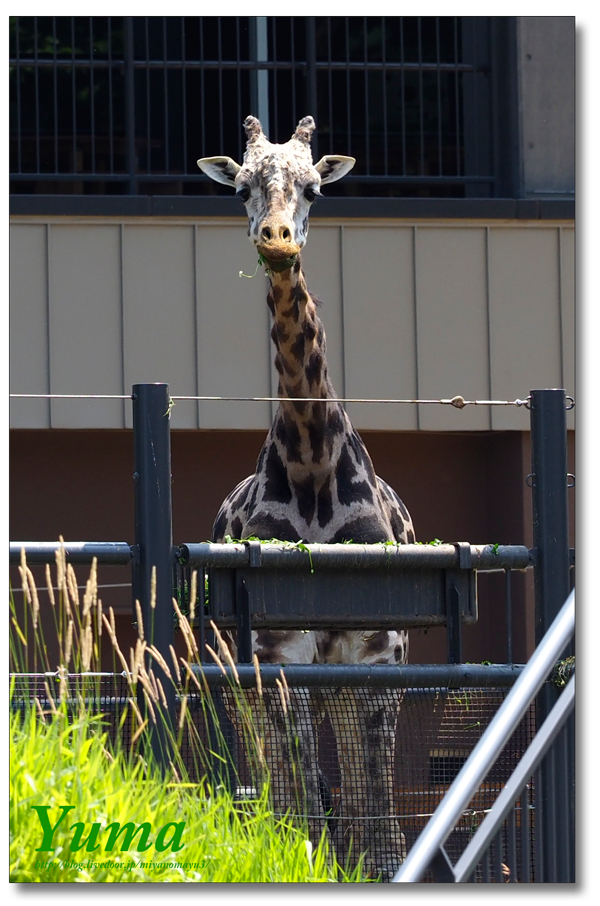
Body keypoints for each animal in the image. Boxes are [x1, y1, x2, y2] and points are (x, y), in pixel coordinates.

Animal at [199, 116, 414, 880]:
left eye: (315, 189)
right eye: (241, 188)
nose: (278, 237)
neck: (313, 463)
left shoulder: (376, 653)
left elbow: (374, 816)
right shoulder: (278, 651)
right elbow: (298, 807)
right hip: (237, 679)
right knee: (271, 785)